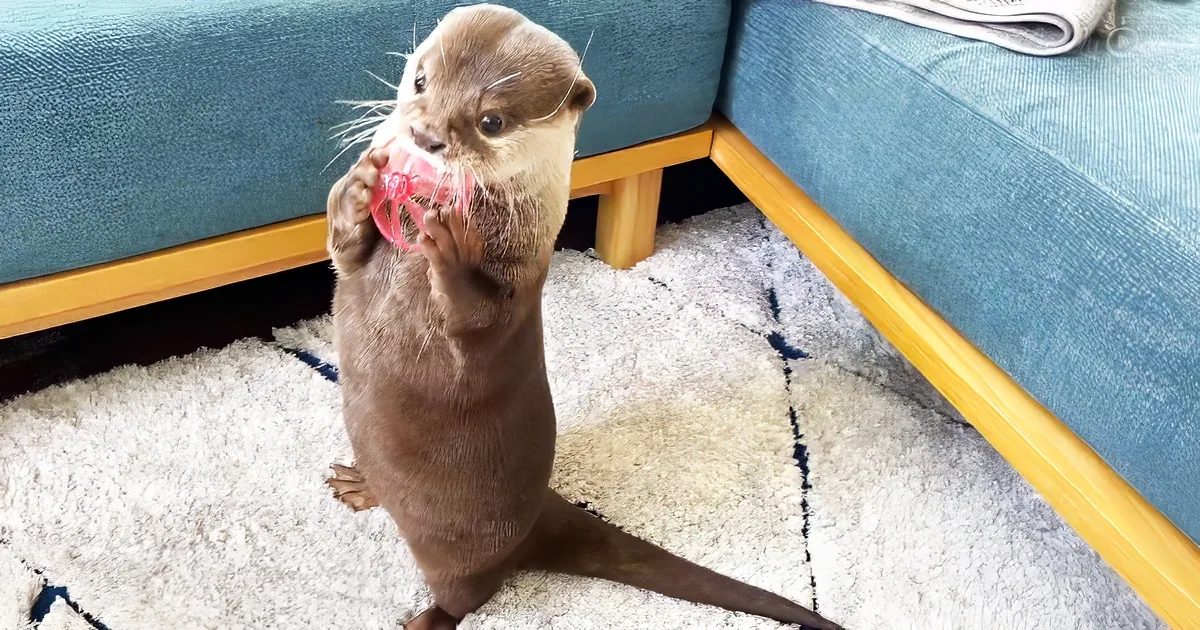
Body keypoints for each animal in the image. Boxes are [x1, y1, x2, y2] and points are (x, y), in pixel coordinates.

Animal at [324, 5, 844, 629]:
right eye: (421, 80)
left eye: (491, 120)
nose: (424, 137)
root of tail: (533, 520)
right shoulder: (358, 261)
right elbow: (342, 249)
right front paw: (357, 186)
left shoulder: (516, 295)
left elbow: (479, 318)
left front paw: (451, 248)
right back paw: (362, 484)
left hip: (461, 550)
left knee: (470, 594)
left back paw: (425, 618)